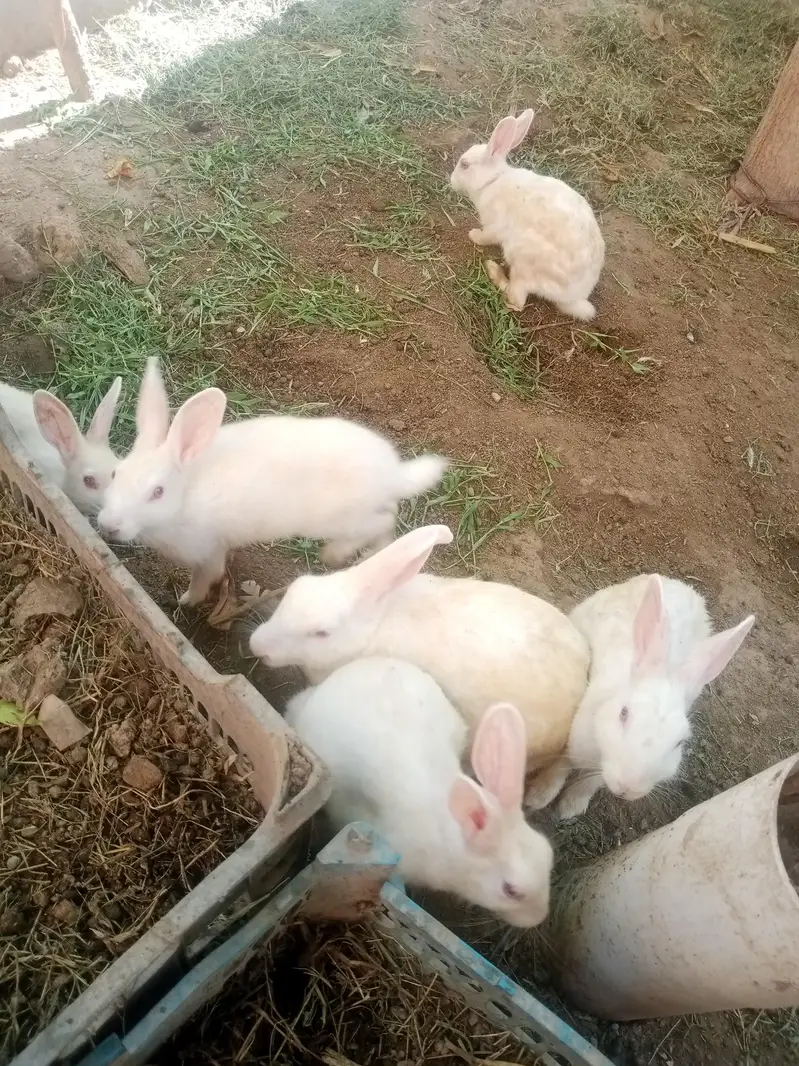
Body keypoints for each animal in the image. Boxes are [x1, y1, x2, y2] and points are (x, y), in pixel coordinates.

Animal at [97, 358, 448, 606]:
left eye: (157, 492)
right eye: (115, 474)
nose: (108, 524)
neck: (183, 499)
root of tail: (393, 474)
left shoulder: (206, 551)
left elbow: (205, 578)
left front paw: (186, 601)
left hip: (340, 520)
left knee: (383, 523)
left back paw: (334, 555)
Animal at [450, 109, 604, 320]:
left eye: (464, 165)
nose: (451, 180)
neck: (492, 180)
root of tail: (573, 297)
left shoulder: (494, 226)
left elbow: (485, 237)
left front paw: (473, 235)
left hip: (523, 260)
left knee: (516, 300)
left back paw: (493, 270)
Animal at [526, 573, 755, 819]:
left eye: (679, 742)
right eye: (623, 714)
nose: (629, 789)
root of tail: (679, 584)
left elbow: (590, 783)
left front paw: (572, 805)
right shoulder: (575, 743)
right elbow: (561, 766)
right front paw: (539, 796)